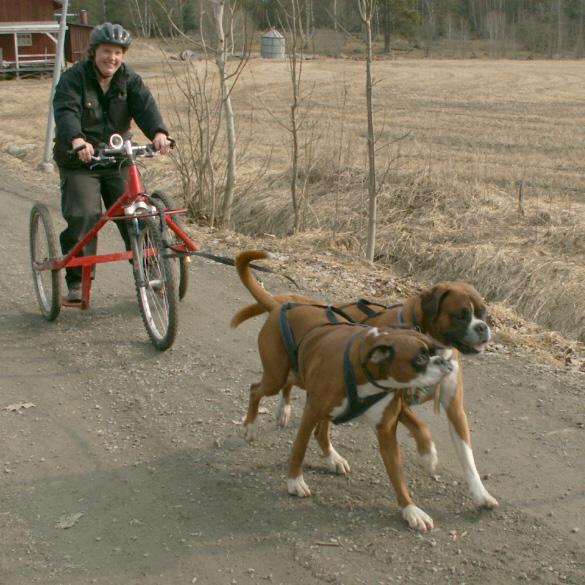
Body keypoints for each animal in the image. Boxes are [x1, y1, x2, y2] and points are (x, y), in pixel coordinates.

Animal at [233, 249, 498, 524]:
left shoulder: (453, 409)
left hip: (301, 376)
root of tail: (285, 304)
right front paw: (428, 456)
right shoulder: (401, 404)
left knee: (308, 409)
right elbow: (421, 427)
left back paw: (317, 443)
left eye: (483, 313)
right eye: (461, 315)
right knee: (262, 389)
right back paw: (258, 424)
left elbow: (466, 456)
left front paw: (480, 495)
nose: (483, 327)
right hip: (278, 374)